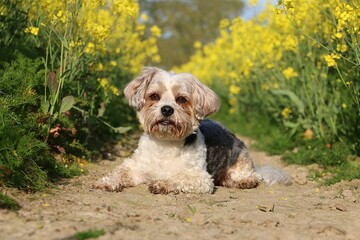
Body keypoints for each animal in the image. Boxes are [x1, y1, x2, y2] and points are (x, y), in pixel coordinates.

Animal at [94, 66, 292, 194]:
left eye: (182, 99)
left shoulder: (200, 179)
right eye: (154, 96)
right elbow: (119, 172)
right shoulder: (135, 167)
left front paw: (162, 183)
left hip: (241, 161)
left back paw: (245, 181)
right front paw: (107, 181)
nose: (167, 109)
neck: (166, 144)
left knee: (253, 176)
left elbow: (179, 178)